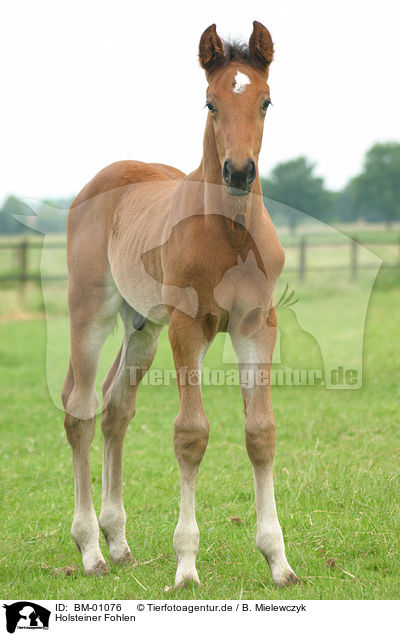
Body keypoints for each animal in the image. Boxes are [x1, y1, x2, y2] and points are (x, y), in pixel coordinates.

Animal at [62, 21, 298, 588]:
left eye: (266, 100)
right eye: (210, 103)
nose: (239, 171)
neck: (230, 234)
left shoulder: (257, 325)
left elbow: (261, 432)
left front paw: (279, 561)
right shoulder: (188, 327)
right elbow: (191, 434)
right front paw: (186, 566)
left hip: (142, 326)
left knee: (115, 410)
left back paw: (118, 542)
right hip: (91, 312)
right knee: (80, 410)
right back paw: (90, 549)